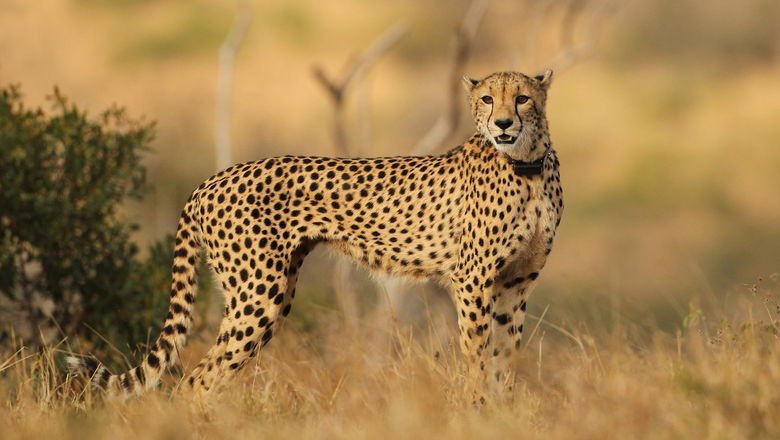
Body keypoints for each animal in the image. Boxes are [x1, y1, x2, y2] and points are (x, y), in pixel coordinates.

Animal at [67, 70, 563, 398]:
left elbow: (505, 360)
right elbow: (479, 360)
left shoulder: (516, 283)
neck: (527, 166)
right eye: (487, 99)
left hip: (273, 289)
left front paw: (503, 411)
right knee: (197, 379)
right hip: (258, 294)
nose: (503, 124)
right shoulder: (473, 281)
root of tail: (209, 180)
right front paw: (479, 411)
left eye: (522, 98)